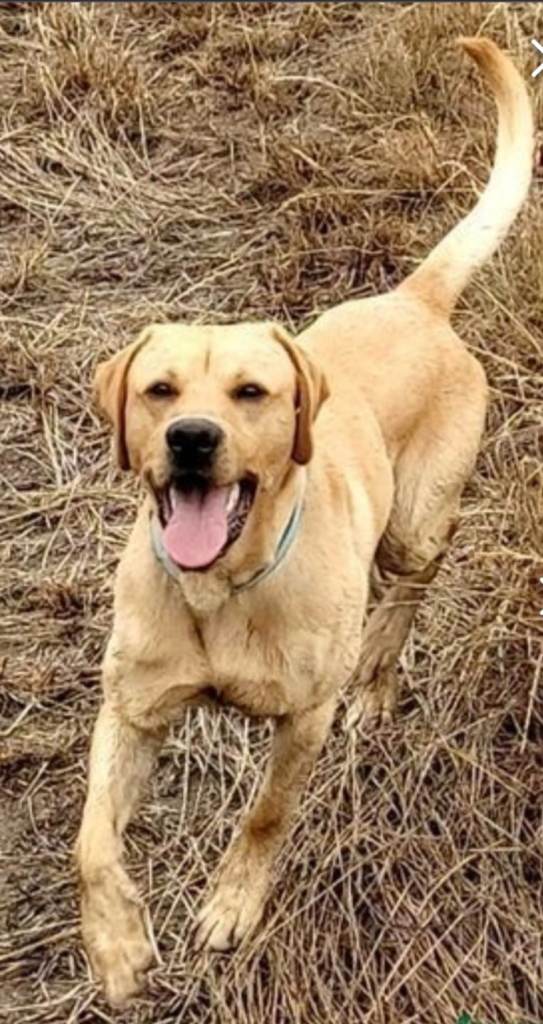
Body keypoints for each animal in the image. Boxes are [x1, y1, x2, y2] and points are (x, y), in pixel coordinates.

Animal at [76, 39, 532, 1004]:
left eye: (251, 392)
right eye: (158, 389)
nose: (192, 438)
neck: (219, 593)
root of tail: (417, 300)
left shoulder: (303, 719)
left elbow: (266, 813)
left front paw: (231, 903)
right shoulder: (130, 711)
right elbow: (91, 839)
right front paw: (117, 943)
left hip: (414, 524)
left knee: (411, 585)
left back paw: (378, 677)